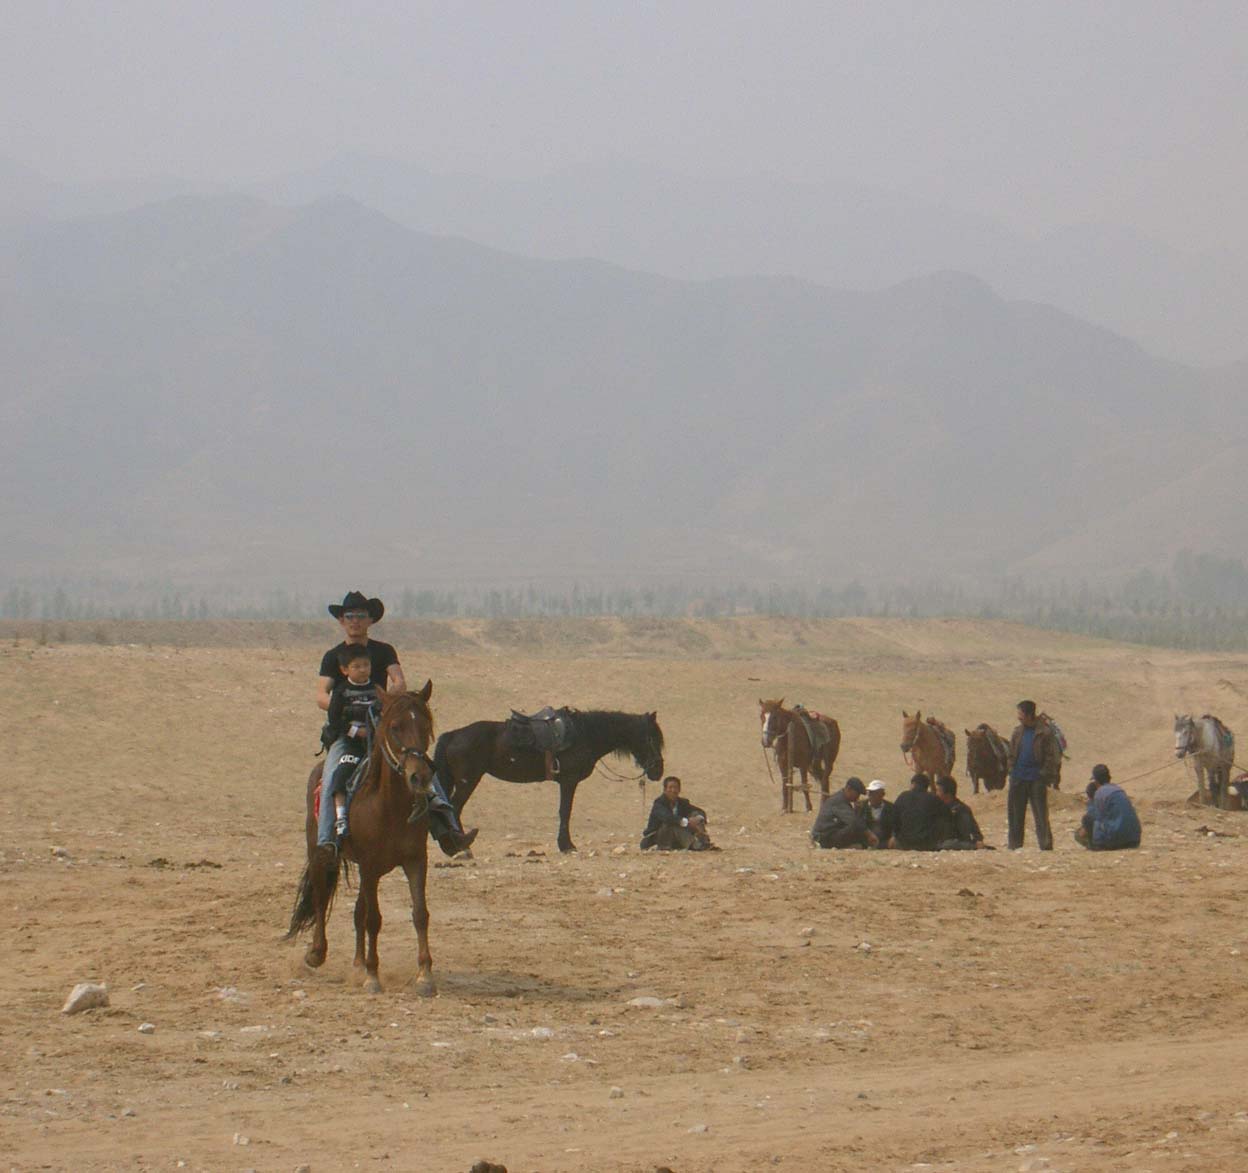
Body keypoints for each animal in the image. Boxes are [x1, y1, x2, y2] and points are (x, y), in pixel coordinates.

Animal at [285, 683, 439, 993]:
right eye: (394, 727)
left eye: (426, 726)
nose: (420, 777)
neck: (390, 807)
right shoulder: (369, 866)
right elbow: (373, 919)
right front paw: (373, 976)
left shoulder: (416, 861)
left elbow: (419, 913)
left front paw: (424, 975)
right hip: (320, 854)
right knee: (320, 900)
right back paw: (317, 953)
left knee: (356, 911)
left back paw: (357, 965)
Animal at [431, 703, 663, 853]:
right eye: (651, 738)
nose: (658, 771)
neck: (585, 734)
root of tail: (453, 735)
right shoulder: (569, 781)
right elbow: (565, 811)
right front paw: (567, 845)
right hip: (468, 781)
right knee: (455, 807)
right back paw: (461, 847)